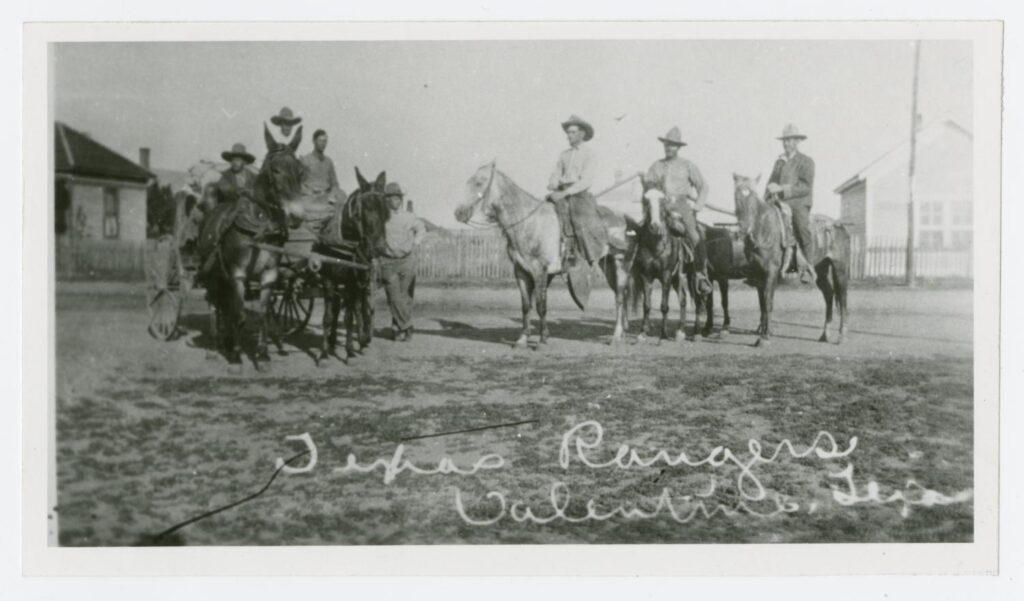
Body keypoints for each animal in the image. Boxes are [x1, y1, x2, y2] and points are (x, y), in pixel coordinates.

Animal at [196, 136, 303, 370]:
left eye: (300, 169)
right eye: (275, 170)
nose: (296, 216)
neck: (260, 224)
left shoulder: (269, 274)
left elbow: (263, 315)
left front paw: (262, 356)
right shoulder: (238, 274)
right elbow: (240, 314)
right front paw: (236, 358)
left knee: (225, 306)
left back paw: (227, 342)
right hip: (212, 275)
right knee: (213, 304)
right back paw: (214, 347)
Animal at [309, 170, 389, 366]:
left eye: (386, 210)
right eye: (366, 208)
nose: (379, 248)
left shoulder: (352, 283)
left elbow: (349, 317)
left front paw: (350, 352)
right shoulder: (328, 280)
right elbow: (328, 316)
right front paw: (323, 354)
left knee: (358, 310)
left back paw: (361, 341)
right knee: (338, 309)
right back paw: (332, 343)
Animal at [454, 160, 630, 348]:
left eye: (479, 183)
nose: (458, 213)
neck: (529, 223)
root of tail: (622, 217)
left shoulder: (540, 270)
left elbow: (541, 305)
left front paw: (542, 340)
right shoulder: (521, 271)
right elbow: (526, 306)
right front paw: (522, 339)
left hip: (620, 262)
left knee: (620, 297)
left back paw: (616, 337)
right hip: (608, 265)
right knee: (620, 295)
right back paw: (622, 334)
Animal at [733, 172, 851, 346]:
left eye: (753, 197)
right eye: (736, 196)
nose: (744, 228)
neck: (765, 229)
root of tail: (839, 226)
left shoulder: (771, 271)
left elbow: (768, 303)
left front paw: (764, 337)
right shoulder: (759, 275)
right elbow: (762, 305)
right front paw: (763, 333)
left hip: (840, 268)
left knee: (842, 298)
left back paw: (841, 336)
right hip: (820, 270)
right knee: (829, 295)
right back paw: (825, 335)